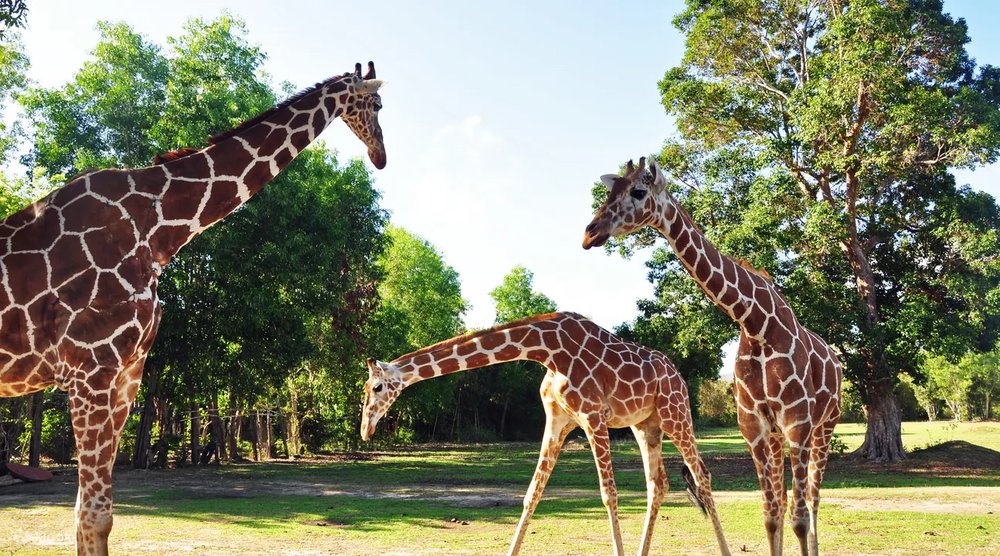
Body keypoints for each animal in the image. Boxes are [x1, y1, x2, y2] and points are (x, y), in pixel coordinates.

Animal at [0, 62, 385, 555]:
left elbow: (97, 515)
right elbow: (92, 515)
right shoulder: (91, 371)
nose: (380, 155)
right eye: (377, 104)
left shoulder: (126, 375)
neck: (158, 231)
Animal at [362, 311, 732, 556]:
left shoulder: (592, 416)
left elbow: (608, 495)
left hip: (675, 413)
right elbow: (532, 495)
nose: (366, 430)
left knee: (702, 475)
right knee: (659, 484)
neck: (547, 350)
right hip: (645, 425)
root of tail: (678, 375)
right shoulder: (556, 421)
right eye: (365, 389)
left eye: (377, 387)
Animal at [582, 157, 842, 556]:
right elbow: (771, 515)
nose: (590, 232)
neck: (755, 322)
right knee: (787, 501)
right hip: (781, 435)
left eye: (638, 192)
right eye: (612, 191)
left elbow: (797, 518)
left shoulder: (797, 422)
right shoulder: (753, 426)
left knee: (812, 502)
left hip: (825, 424)